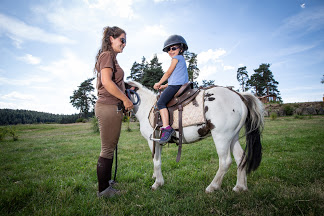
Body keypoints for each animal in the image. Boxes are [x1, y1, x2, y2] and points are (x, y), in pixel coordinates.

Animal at [125, 81, 264, 192]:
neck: (146, 107)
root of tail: (239, 96)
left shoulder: (153, 141)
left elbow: (156, 161)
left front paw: (157, 183)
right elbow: (156, 160)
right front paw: (156, 178)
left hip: (222, 137)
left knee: (225, 162)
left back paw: (212, 187)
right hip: (233, 137)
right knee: (241, 158)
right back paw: (240, 187)